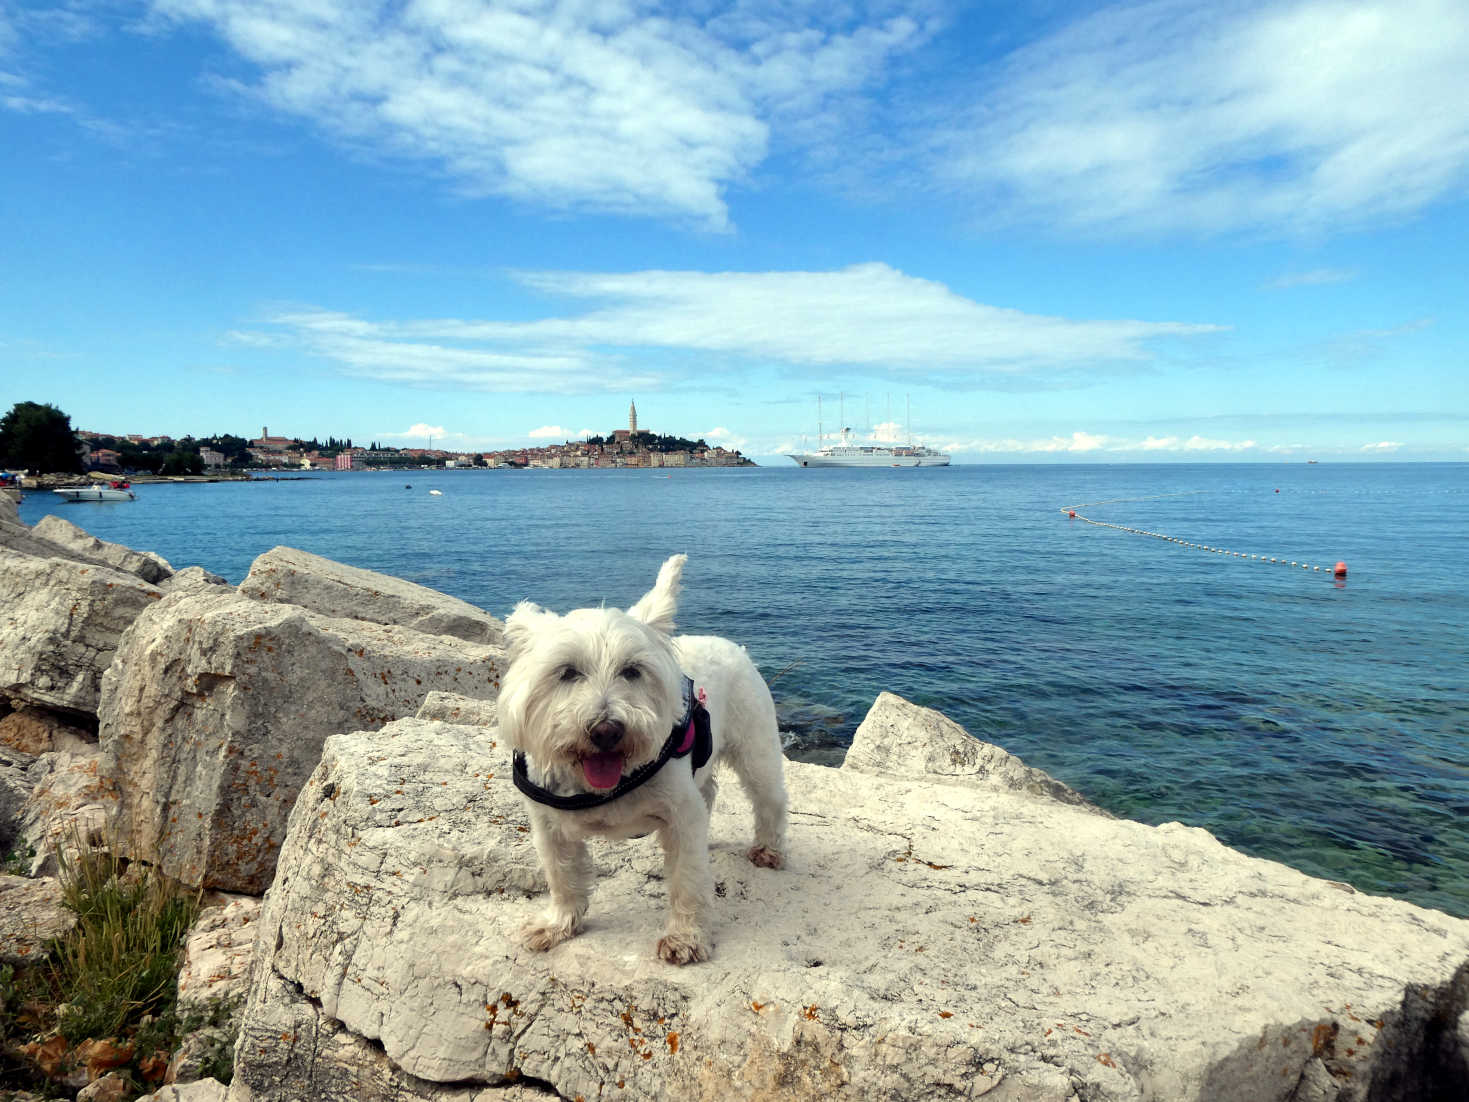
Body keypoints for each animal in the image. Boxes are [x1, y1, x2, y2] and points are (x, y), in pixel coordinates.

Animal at [499, 555, 787, 963]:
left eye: (632, 670)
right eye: (567, 672)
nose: (607, 730)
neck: (603, 785)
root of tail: (731, 645)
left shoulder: (682, 817)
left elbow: (687, 880)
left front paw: (685, 938)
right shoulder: (548, 825)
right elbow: (561, 874)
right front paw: (557, 925)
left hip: (755, 750)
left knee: (769, 801)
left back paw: (768, 850)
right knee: (709, 792)